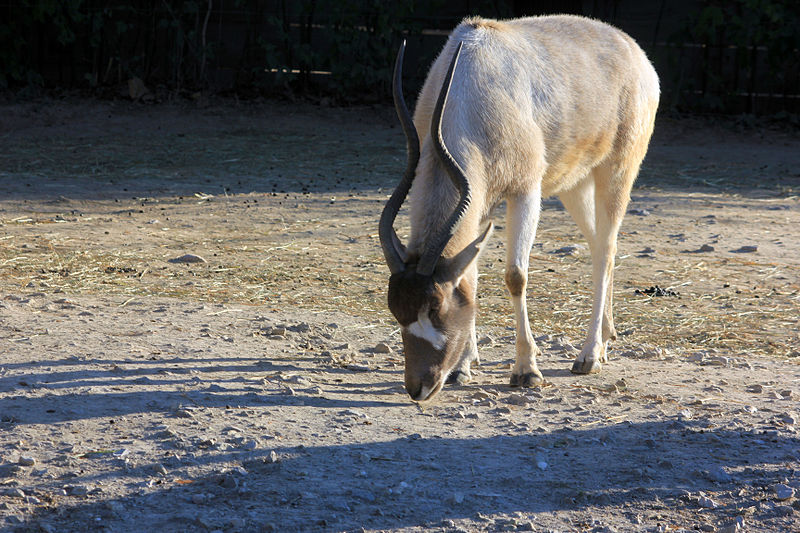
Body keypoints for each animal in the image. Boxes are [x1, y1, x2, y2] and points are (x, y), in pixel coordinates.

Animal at [378, 14, 660, 400]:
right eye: (395, 309)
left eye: (435, 307)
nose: (418, 387)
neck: (468, 84)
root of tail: (633, 49)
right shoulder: (479, 201)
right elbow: (471, 273)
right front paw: (463, 366)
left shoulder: (525, 191)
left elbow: (515, 276)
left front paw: (527, 370)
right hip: (574, 185)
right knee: (600, 244)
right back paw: (605, 337)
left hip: (617, 171)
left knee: (605, 249)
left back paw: (589, 356)